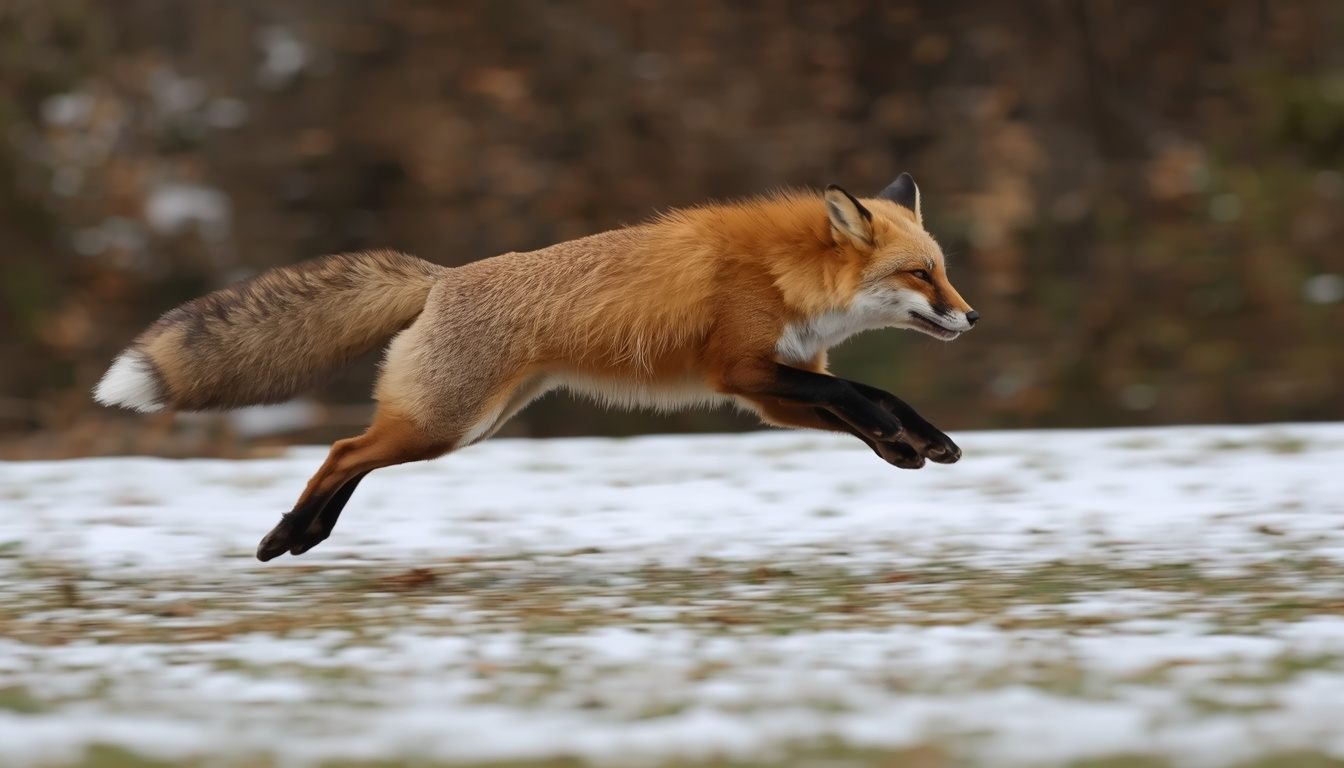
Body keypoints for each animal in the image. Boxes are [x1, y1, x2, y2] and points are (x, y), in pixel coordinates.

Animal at [94, 173, 977, 561]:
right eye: (921, 274)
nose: (971, 318)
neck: (783, 273)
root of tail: (442, 277)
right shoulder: (745, 372)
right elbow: (862, 390)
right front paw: (908, 438)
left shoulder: (772, 389)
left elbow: (854, 404)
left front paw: (913, 445)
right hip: (445, 424)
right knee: (344, 451)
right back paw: (287, 534)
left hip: (468, 426)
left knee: (352, 456)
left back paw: (304, 535)